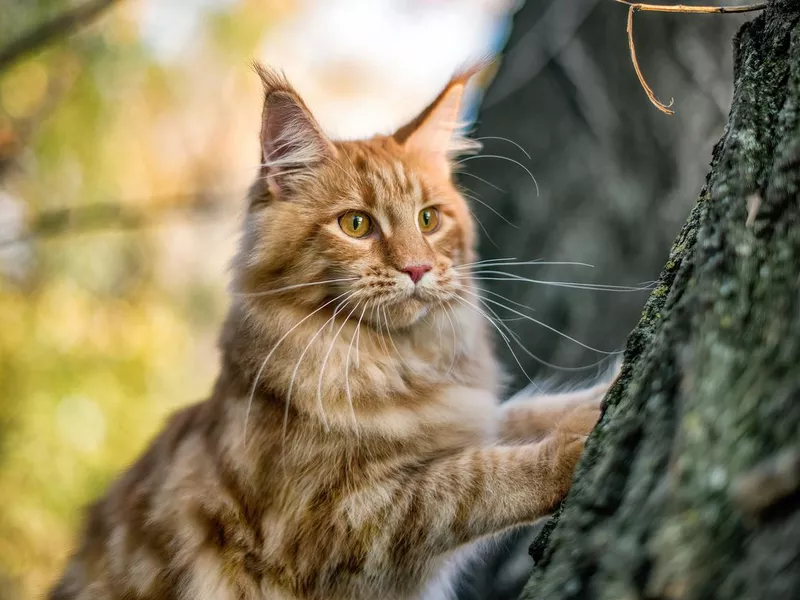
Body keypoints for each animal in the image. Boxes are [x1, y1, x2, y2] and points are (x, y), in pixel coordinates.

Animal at [48, 64, 612, 600]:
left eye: (429, 220)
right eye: (356, 225)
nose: (417, 269)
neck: (393, 361)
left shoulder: (463, 418)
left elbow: (522, 414)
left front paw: (601, 396)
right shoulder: (332, 521)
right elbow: (473, 480)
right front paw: (574, 449)